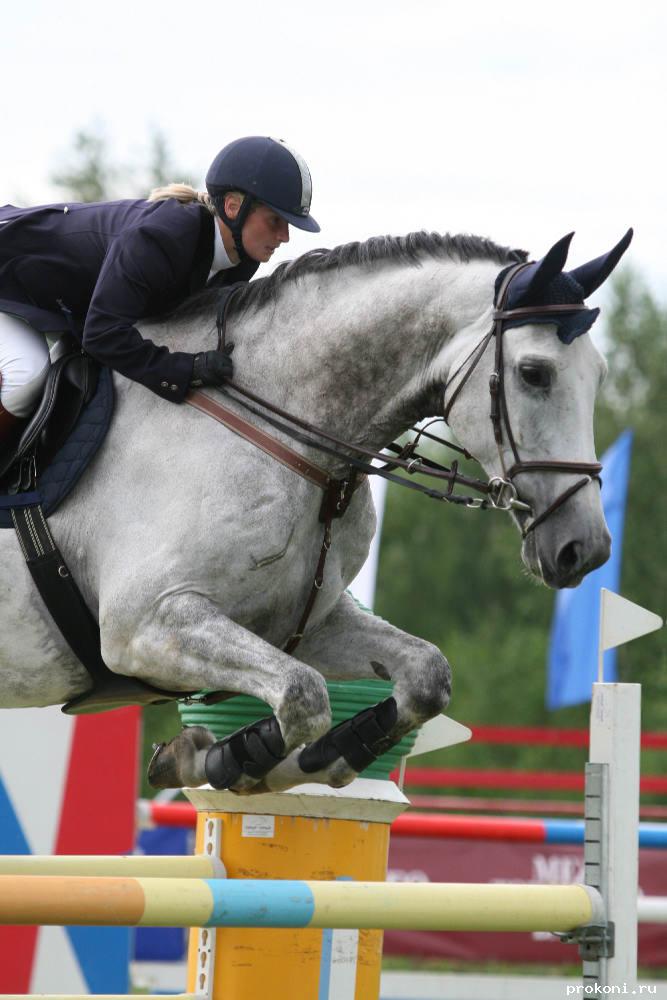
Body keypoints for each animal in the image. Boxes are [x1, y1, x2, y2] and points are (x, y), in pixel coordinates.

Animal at [0, 227, 632, 796]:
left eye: (601, 375)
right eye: (534, 373)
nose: (586, 549)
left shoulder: (306, 623)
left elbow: (424, 677)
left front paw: (312, 759)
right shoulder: (145, 625)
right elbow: (304, 697)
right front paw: (215, 759)